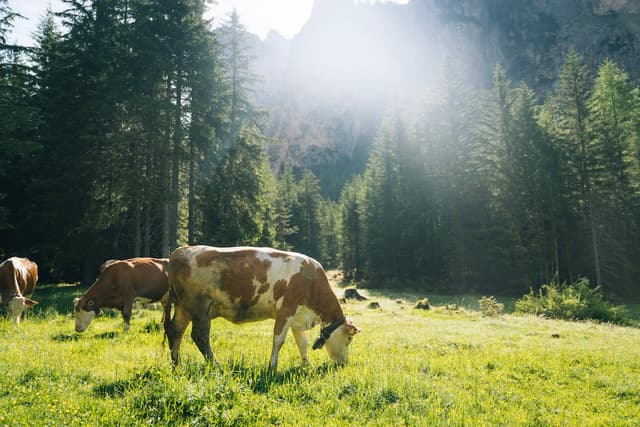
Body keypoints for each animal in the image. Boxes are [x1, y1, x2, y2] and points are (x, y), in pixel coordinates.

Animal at [164, 246, 360, 372]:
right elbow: (278, 341)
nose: (345, 363)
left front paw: (306, 365)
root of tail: (180, 251)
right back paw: (216, 366)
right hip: (200, 308)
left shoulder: (298, 317)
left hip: (183, 308)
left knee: (176, 331)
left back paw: (177, 364)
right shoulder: (286, 310)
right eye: (349, 338)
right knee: (200, 336)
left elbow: (302, 343)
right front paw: (272, 368)